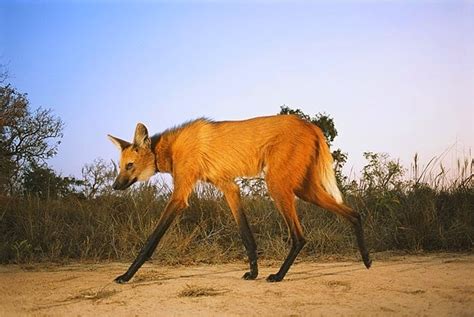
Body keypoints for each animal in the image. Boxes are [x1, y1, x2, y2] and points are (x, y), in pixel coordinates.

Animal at [107, 115, 370, 282]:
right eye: (121, 167)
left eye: (129, 166)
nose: (115, 185)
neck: (169, 149)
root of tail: (311, 125)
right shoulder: (229, 187)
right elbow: (246, 235)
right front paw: (253, 272)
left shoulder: (180, 197)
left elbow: (150, 241)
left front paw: (126, 276)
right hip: (303, 189)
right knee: (353, 214)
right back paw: (367, 260)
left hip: (277, 186)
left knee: (299, 236)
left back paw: (278, 276)